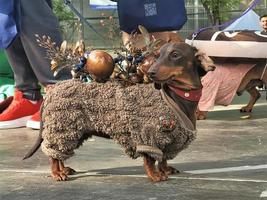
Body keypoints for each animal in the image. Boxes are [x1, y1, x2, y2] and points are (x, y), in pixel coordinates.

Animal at [23, 42, 216, 183]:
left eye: (175, 55)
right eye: (157, 55)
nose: (151, 72)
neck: (178, 96)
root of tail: (53, 90)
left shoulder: (166, 139)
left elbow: (163, 158)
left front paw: (166, 169)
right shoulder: (148, 136)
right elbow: (150, 160)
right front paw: (155, 175)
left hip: (71, 131)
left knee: (58, 153)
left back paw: (64, 169)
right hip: (64, 127)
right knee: (53, 154)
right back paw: (57, 173)